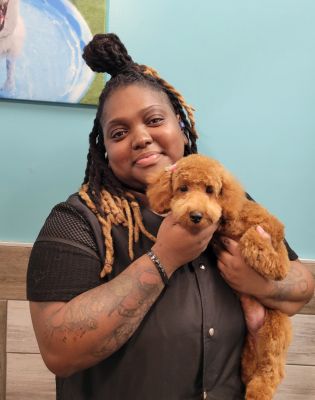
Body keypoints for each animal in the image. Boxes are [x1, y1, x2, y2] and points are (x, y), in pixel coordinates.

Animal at [148, 155, 294, 400]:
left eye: (210, 190)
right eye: (183, 188)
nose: (196, 216)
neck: (226, 225)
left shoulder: (273, 232)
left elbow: (257, 241)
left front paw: (269, 264)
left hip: (275, 329)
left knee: (273, 367)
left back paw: (259, 391)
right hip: (250, 350)